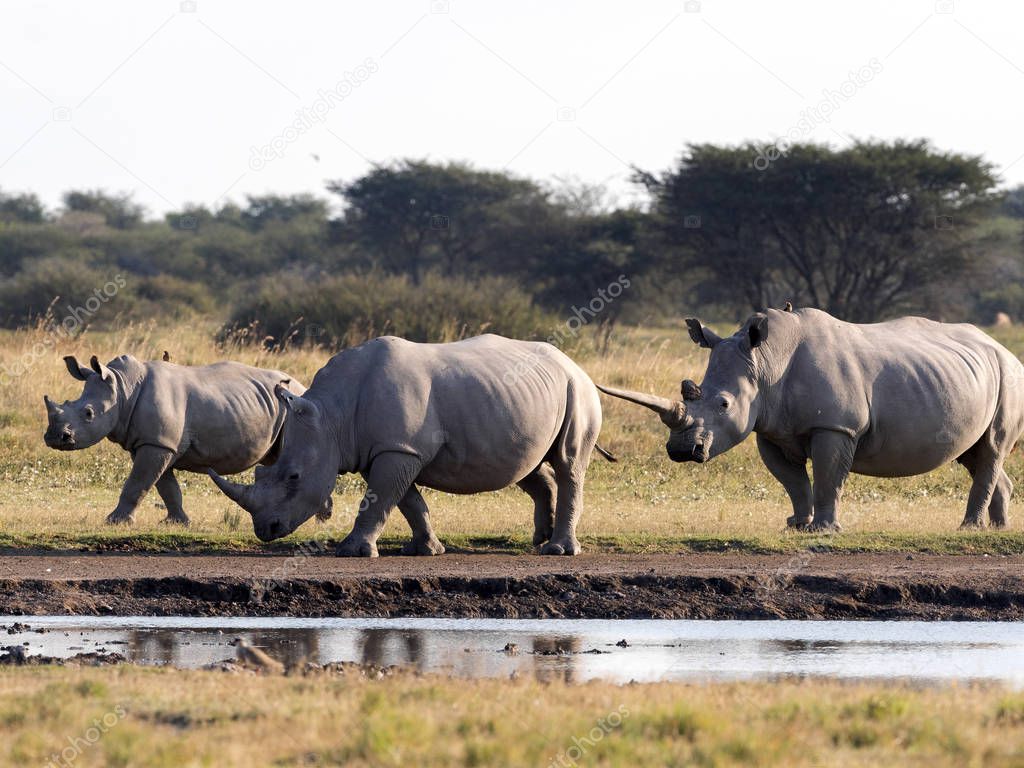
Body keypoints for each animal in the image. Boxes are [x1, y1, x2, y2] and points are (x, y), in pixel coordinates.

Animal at [40, 356, 311, 528]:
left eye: (88, 414)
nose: (55, 438)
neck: (123, 389)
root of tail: (302, 386)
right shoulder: (157, 443)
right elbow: (166, 486)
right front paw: (177, 522)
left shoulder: (157, 444)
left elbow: (137, 483)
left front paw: (114, 522)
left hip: (293, 408)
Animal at [203, 335, 610, 561]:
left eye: (293, 477)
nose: (264, 530)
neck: (333, 418)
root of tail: (576, 364)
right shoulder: (390, 449)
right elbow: (405, 501)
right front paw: (424, 550)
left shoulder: (398, 449)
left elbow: (380, 500)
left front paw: (352, 552)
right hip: (522, 401)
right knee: (528, 465)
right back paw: (539, 540)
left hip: (577, 390)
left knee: (568, 462)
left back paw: (557, 550)